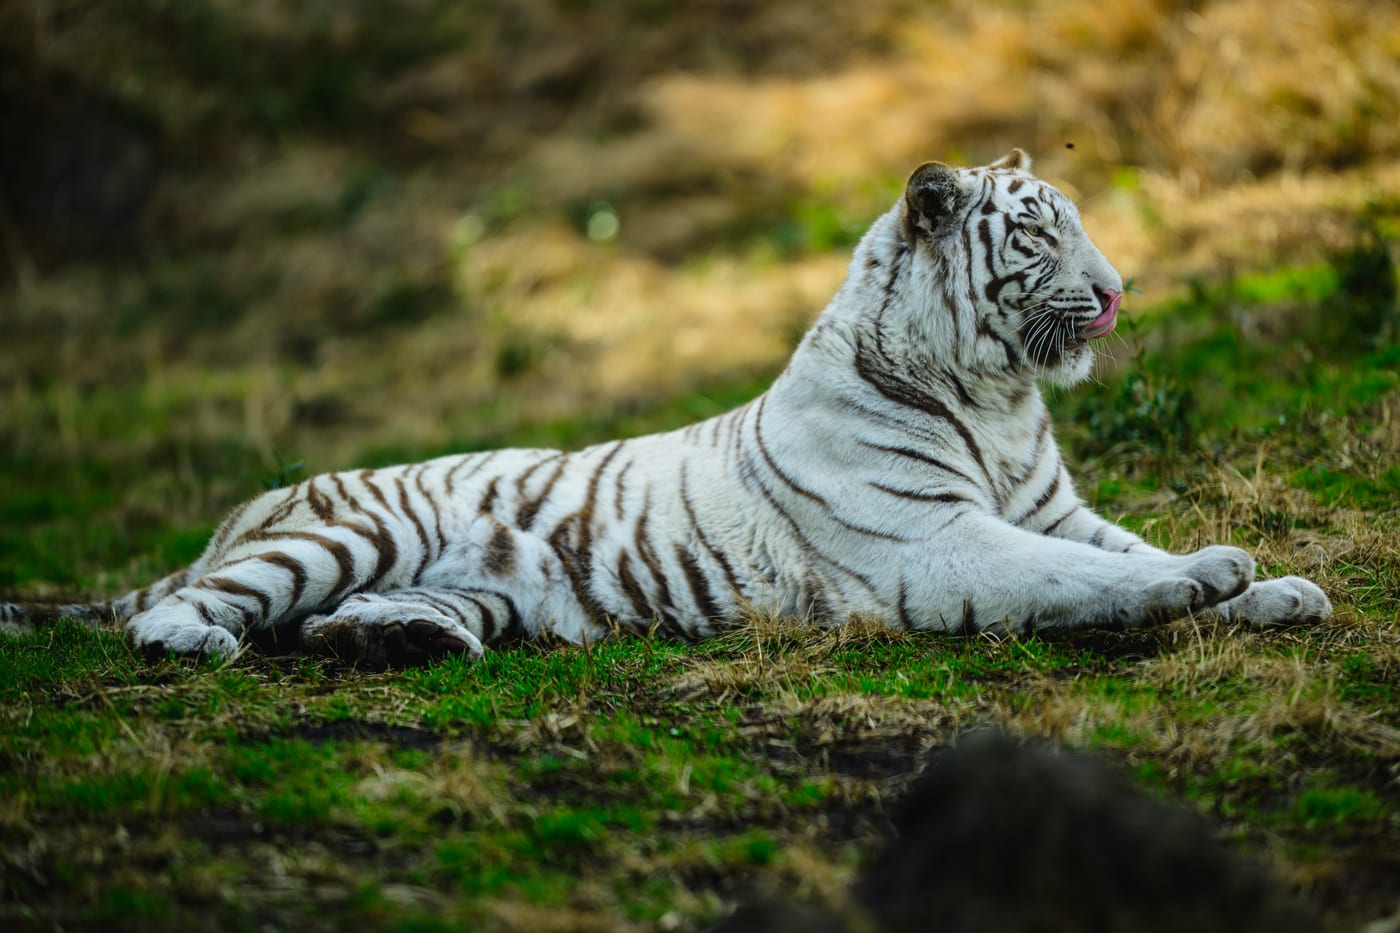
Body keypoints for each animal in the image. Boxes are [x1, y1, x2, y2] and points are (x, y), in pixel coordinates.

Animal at [1, 150, 1332, 666]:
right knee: (180, 610)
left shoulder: (1051, 510)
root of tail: (245, 511)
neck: (999, 397)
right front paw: (1208, 579)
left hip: (462, 582)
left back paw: (395, 640)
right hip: (342, 531)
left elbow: (1125, 550)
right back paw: (198, 639)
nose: (1115, 291)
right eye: (1040, 235)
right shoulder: (936, 545)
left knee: (348, 622)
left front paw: (1277, 587)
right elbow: (1092, 580)